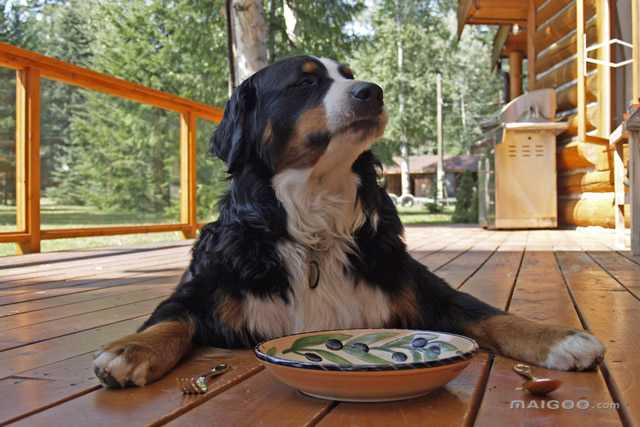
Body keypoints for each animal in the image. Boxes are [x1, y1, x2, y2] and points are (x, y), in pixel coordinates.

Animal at [92, 56, 604, 388]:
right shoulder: (202, 289)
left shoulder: (422, 288)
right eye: (304, 84)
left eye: (351, 77)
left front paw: (558, 338)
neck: (315, 222)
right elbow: (170, 320)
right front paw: (128, 350)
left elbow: (490, 314)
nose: (372, 92)